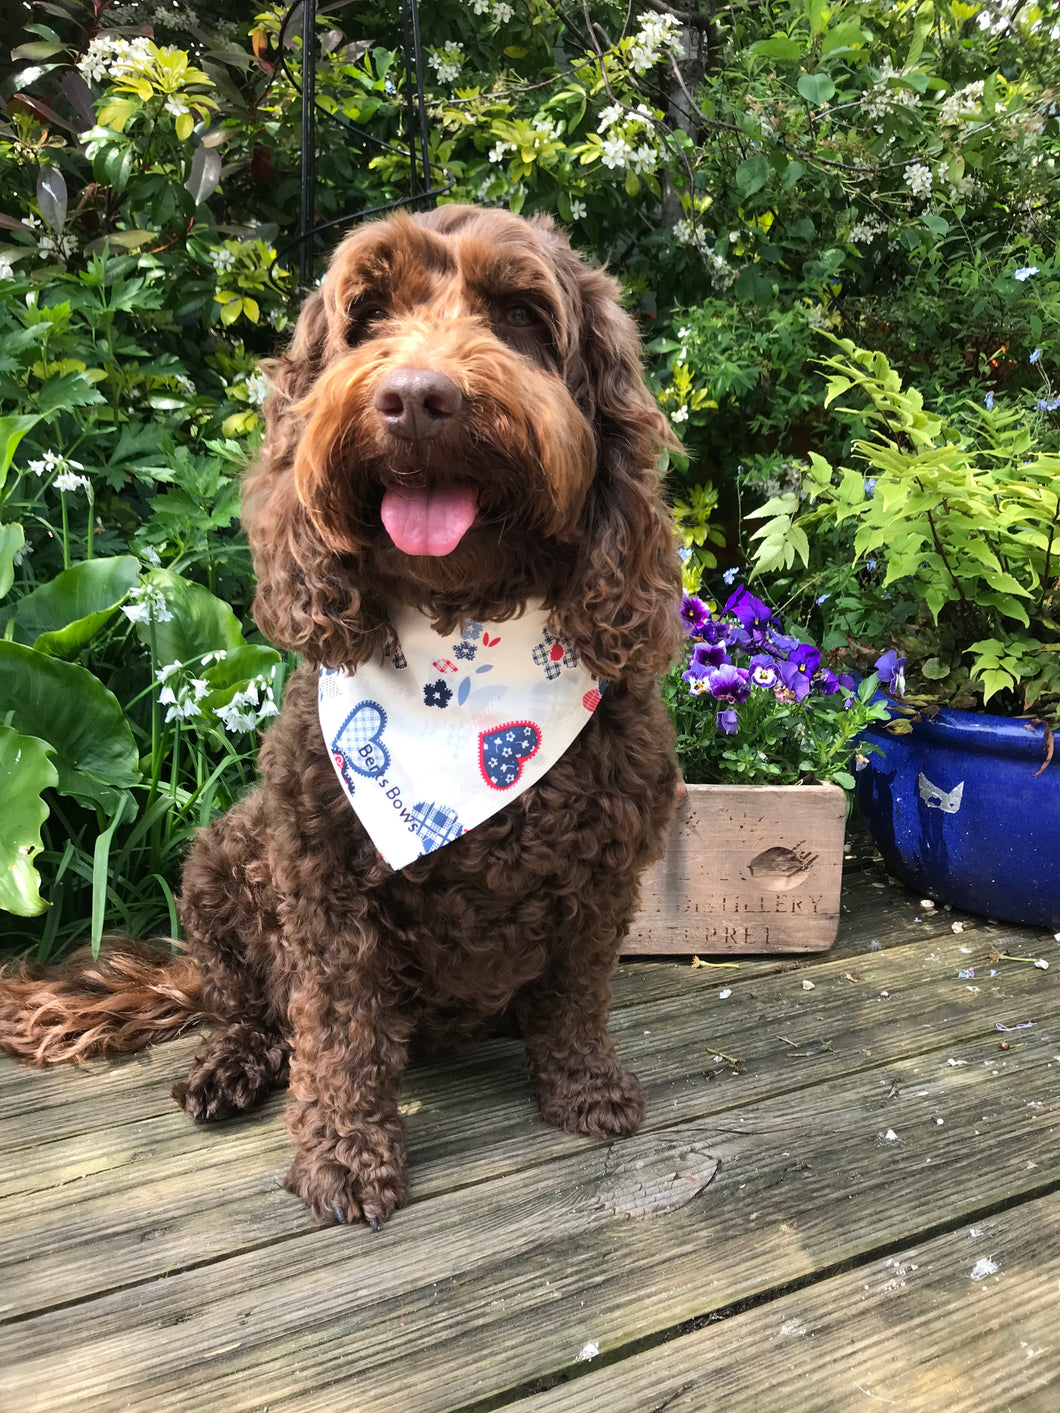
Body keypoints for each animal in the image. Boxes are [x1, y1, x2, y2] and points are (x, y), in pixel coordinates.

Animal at [0, 204, 681, 1232]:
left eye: (521, 314)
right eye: (368, 315)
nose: (417, 398)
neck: (464, 643)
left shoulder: (605, 872)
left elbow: (577, 994)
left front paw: (583, 1086)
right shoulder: (322, 884)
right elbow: (339, 1029)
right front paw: (344, 1156)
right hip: (219, 861)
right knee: (248, 1007)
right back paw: (231, 1066)